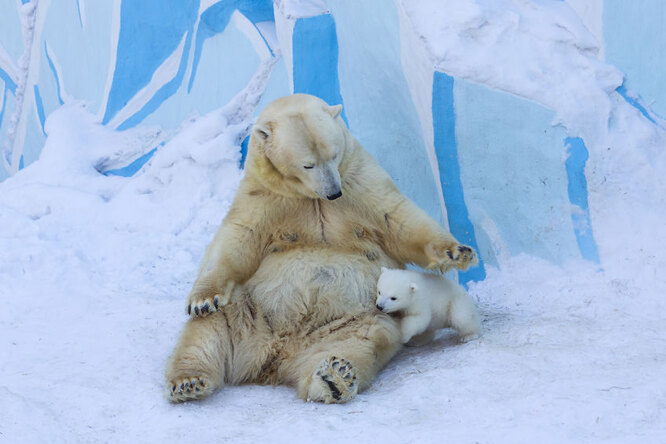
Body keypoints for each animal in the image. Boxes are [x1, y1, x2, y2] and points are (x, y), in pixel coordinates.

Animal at [166, 93, 478, 402]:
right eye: (307, 164)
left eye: (334, 155)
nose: (333, 193)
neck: (310, 197)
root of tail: (276, 355)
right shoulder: (264, 195)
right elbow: (238, 238)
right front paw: (202, 300)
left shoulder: (358, 179)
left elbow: (397, 218)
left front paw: (458, 252)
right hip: (250, 310)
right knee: (212, 328)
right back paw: (189, 380)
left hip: (352, 321)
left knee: (359, 343)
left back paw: (333, 378)